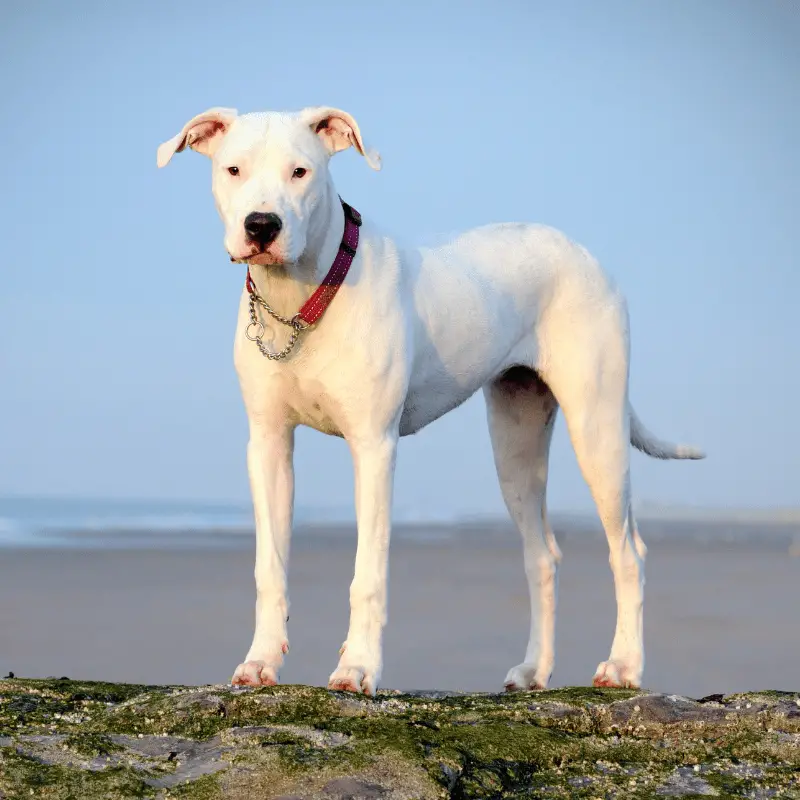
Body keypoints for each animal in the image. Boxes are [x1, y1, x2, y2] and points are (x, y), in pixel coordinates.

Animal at [159, 104, 704, 692]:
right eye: (233, 170)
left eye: (300, 172)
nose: (261, 226)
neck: (302, 297)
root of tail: (585, 256)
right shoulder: (268, 446)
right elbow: (270, 567)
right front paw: (261, 660)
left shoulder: (374, 446)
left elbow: (368, 573)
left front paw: (358, 666)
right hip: (516, 447)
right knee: (542, 555)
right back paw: (534, 669)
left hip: (597, 428)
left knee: (628, 553)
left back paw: (624, 664)